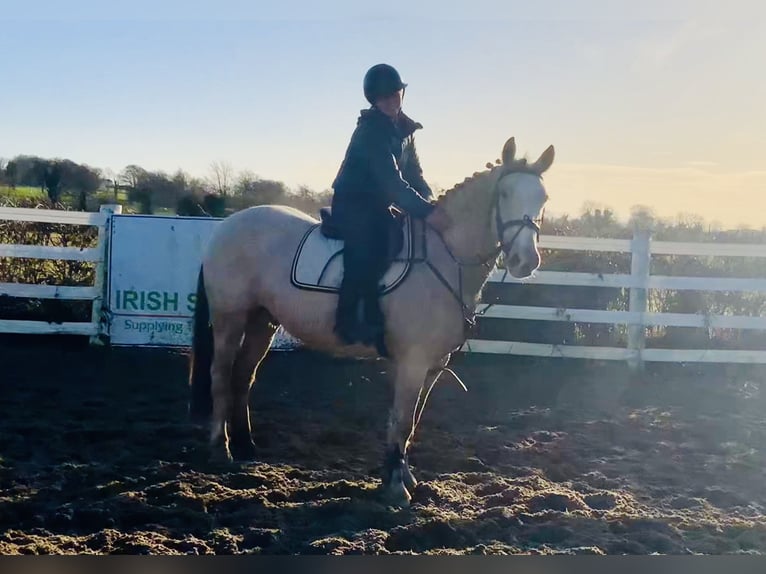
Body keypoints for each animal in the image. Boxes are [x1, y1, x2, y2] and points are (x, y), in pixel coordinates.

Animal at [188, 136, 554, 506]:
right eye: (504, 194)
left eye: (544, 198)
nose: (525, 261)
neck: (445, 257)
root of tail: (227, 226)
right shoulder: (413, 362)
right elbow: (401, 421)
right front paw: (394, 486)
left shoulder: (433, 366)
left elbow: (411, 423)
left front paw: (404, 477)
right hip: (230, 319)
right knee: (220, 375)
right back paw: (221, 449)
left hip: (262, 321)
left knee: (243, 376)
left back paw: (246, 446)